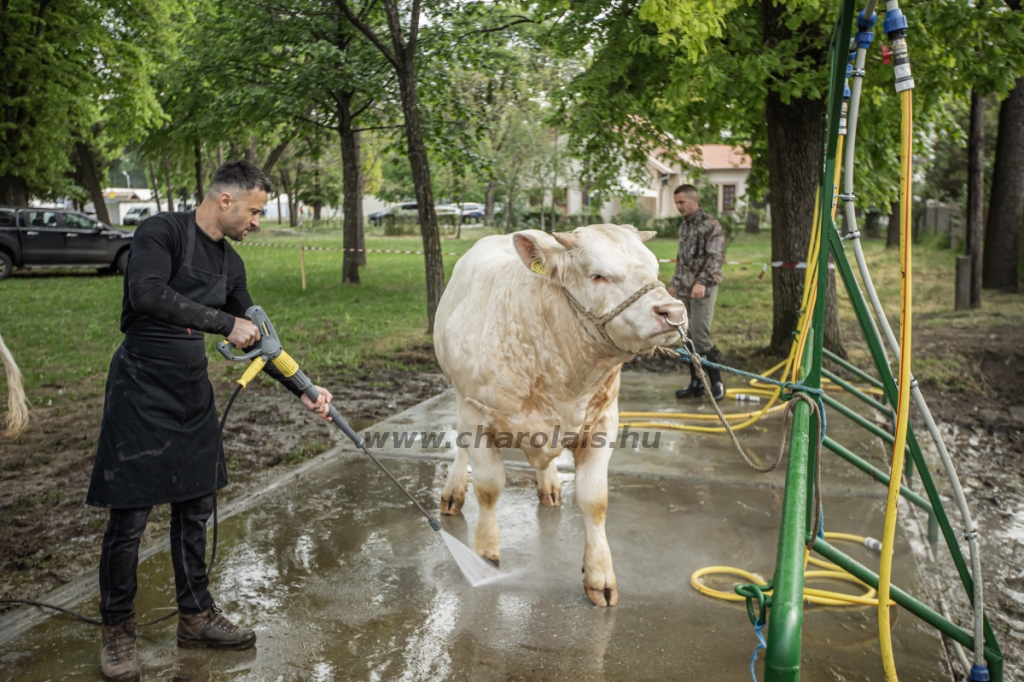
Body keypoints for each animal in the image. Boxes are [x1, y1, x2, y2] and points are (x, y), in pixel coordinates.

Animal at [434, 220, 688, 602]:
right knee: (462, 452)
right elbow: (489, 487)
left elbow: (595, 500)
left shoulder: (602, 423)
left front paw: (599, 574)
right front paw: (484, 554)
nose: (672, 312)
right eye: (598, 276)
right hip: (459, 394)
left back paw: (550, 485)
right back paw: (453, 492)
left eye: (655, 270)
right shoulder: (476, 415)